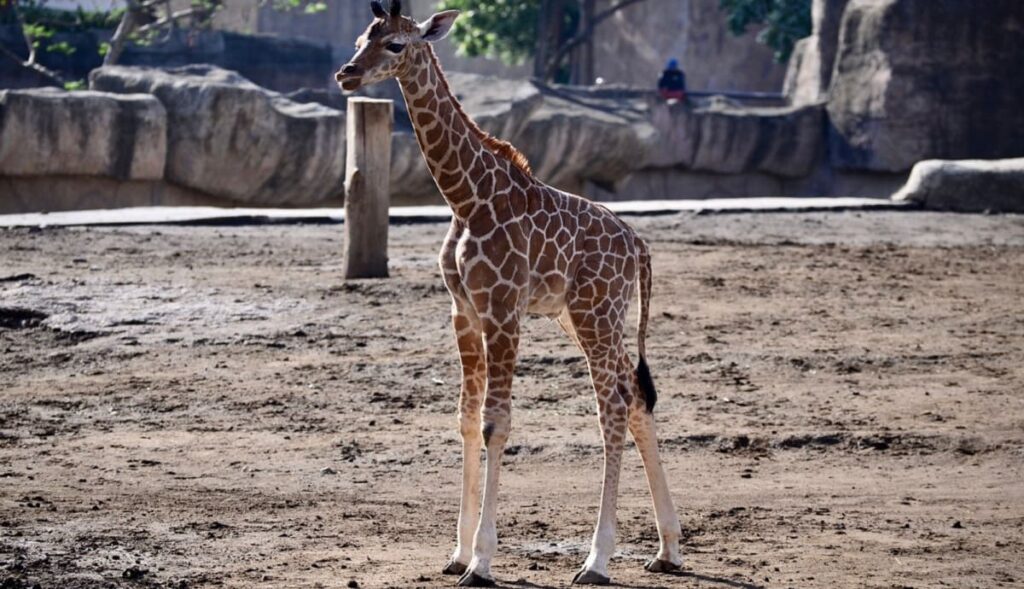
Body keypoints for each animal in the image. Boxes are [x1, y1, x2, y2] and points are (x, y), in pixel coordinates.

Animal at [335, 2, 682, 585]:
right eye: (362, 38)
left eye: (396, 45)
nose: (347, 75)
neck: (466, 197)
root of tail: (637, 243)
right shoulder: (463, 311)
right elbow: (466, 421)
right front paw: (456, 553)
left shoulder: (502, 309)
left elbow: (497, 423)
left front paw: (481, 560)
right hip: (585, 315)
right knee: (635, 398)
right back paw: (668, 550)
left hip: (596, 311)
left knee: (612, 406)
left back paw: (597, 560)